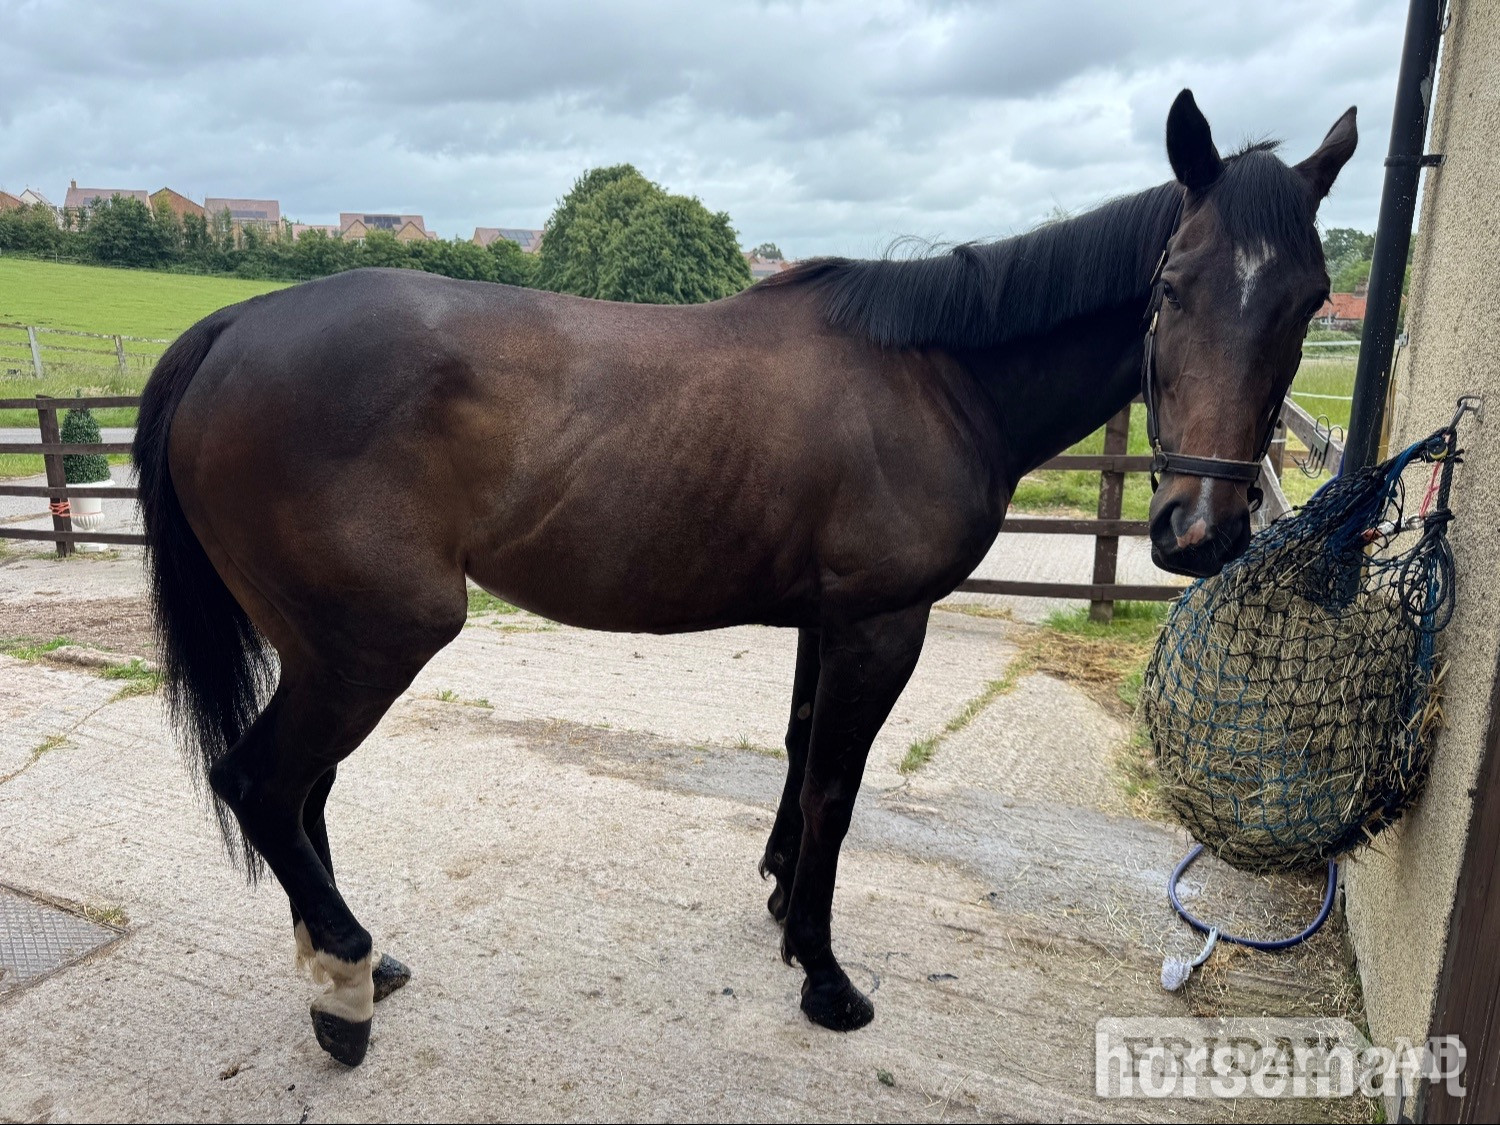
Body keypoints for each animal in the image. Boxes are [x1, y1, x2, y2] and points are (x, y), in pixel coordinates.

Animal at [132, 90, 1356, 1066]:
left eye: (1309, 300)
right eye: (1170, 286)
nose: (1198, 531)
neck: (938, 377)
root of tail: (232, 326)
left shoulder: (829, 622)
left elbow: (799, 750)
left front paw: (778, 900)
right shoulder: (881, 623)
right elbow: (834, 790)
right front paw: (824, 973)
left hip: (326, 644)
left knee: (305, 793)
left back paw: (358, 962)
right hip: (374, 640)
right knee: (262, 784)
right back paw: (343, 985)